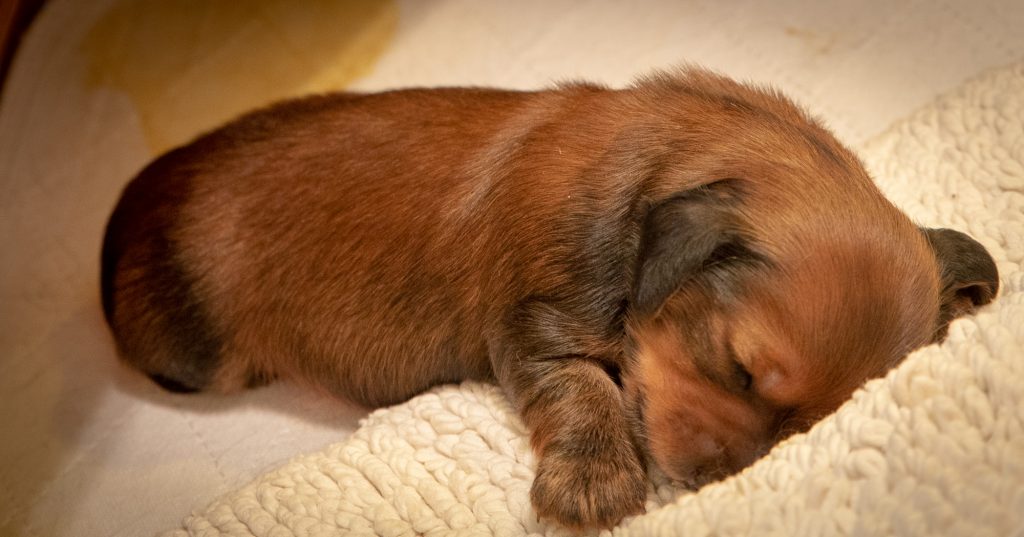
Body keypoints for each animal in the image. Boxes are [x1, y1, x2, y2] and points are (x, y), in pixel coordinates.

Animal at [99, 67, 995, 528]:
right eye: (738, 370)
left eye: (804, 426)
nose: (712, 479)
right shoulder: (537, 324)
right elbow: (581, 387)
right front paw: (596, 483)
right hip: (192, 351)